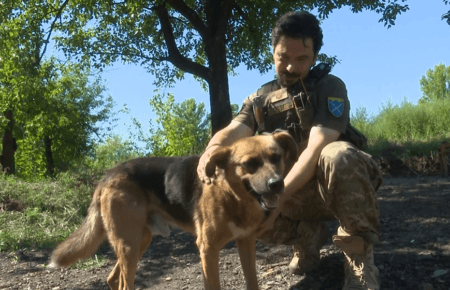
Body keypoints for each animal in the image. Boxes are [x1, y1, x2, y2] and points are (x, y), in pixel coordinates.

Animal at [49, 132, 298, 290]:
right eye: (250, 164)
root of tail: (108, 175)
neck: (232, 196)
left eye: (276, 157)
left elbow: (252, 281)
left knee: (112, 279)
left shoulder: (246, 242)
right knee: (123, 284)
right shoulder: (207, 249)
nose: (277, 184)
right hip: (129, 244)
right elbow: (213, 286)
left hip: (140, 241)